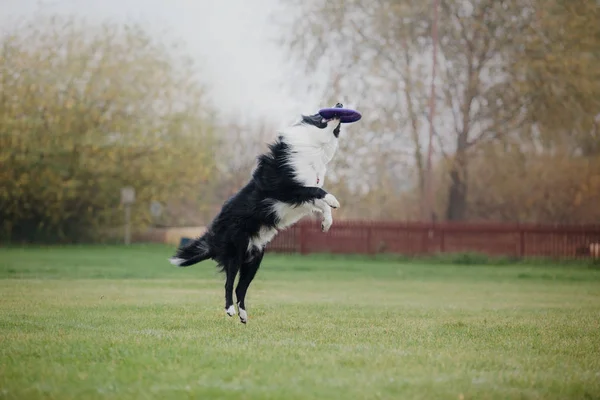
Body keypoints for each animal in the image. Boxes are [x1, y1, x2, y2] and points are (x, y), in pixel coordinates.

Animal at [171, 102, 344, 322]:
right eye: (319, 113)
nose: (339, 104)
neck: (316, 145)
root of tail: (213, 237)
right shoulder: (286, 188)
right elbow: (317, 191)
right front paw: (333, 200)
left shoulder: (301, 200)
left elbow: (320, 204)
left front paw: (327, 222)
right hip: (235, 253)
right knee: (229, 284)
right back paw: (230, 309)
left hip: (254, 259)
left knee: (241, 288)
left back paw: (243, 315)